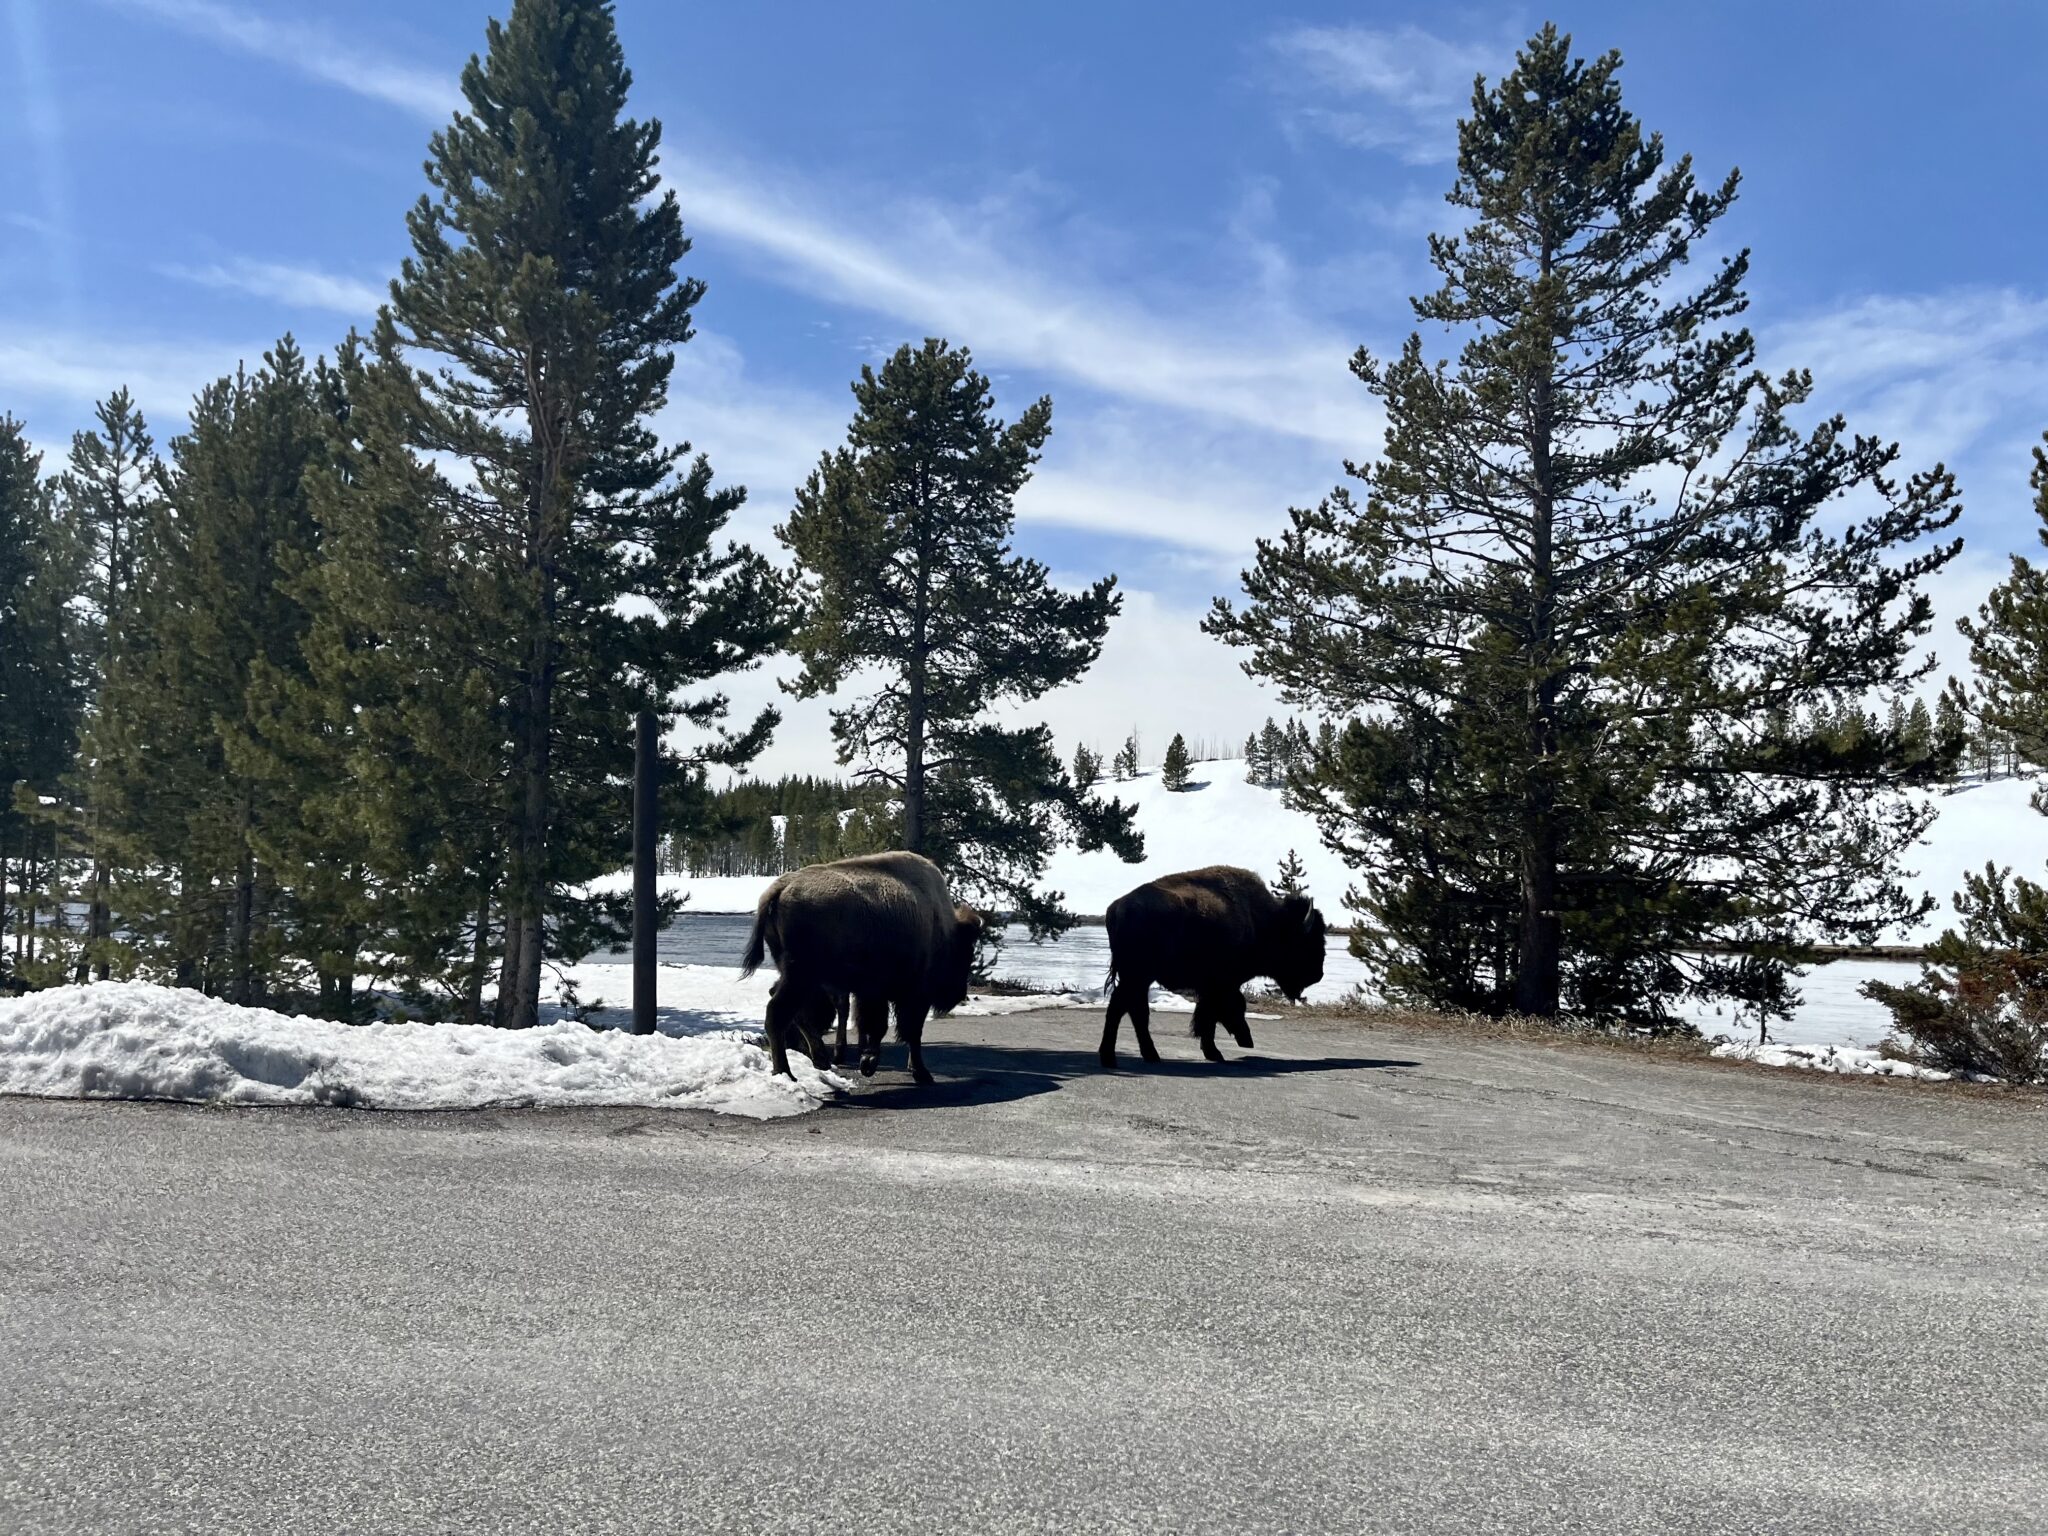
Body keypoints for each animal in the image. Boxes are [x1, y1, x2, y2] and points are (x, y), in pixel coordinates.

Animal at [742, 851, 982, 1084]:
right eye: (966, 953)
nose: (959, 993)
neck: (940, 925)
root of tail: (781, 887)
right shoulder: (912, 995)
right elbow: (908, 1031)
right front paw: (918, 1072)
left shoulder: (871, 992)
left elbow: (873, 1025)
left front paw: (868, 1062)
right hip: (800, 976)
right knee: (777, 1013)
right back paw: (786, 1073)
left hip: (797, 975)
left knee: (791, 1009)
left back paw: (819, 1059)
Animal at [1100, 865, 1327, 1069]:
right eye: (1308, 942)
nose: (1318, 974)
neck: (1263, 921)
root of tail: (1116, 908)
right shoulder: (1221, 985)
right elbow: (1215, 1014)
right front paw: (1216, 1052)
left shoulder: (1214, 987)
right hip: (1137, 975)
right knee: (1121, 1008)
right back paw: (1110, 1058)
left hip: (1138, 978)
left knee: (1136, 1011)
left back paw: (1150, 1055)